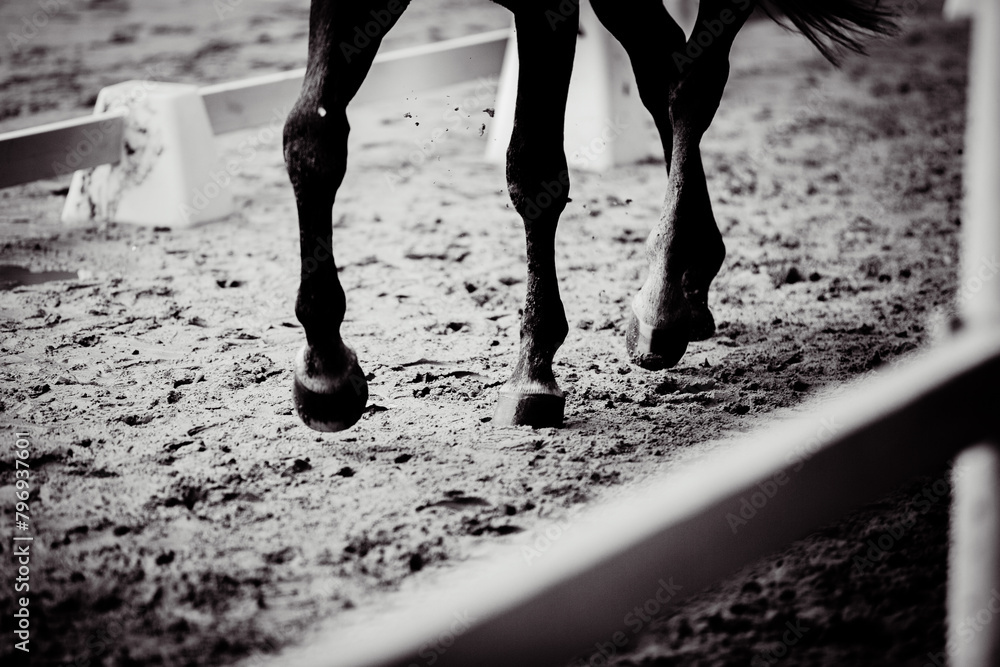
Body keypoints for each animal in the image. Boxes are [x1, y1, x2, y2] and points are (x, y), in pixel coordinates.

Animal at [282, 0, 900, 434]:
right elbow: (310, 137)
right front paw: (325, 372)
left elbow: (533, 170)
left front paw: (533, 372)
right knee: (663, 65)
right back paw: (692, 281)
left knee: (692, 81)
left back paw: (663, 299)